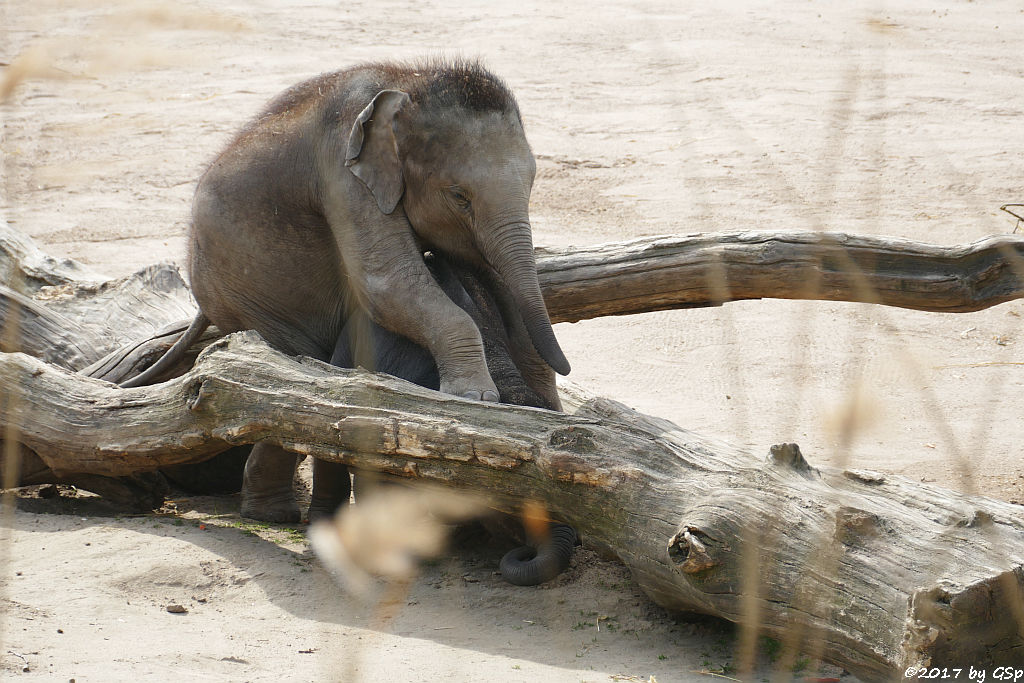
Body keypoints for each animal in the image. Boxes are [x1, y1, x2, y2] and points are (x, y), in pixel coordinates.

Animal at [126, 58, 569, 524]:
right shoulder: (342, 169)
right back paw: (273, 514)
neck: (408, 82)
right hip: (245, 295)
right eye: (459, 196)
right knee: (280, 370)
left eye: (533, 185)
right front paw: (473, 398)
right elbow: (385, 281)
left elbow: (497, 285)